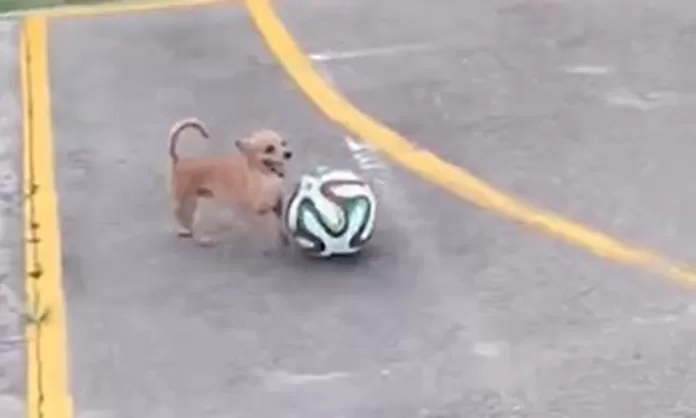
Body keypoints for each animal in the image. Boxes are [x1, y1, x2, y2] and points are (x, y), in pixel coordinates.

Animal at [170, 116, 292, 248]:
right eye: (269, 149)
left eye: (283, 143)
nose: (288, 153)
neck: (264, 177)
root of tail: (179, 161)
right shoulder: (256, 210)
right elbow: (266, 227)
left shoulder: (277, 204)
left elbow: (280, 223)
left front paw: (283, 237)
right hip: (187, 201)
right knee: (180, 215)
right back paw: (193, 234)